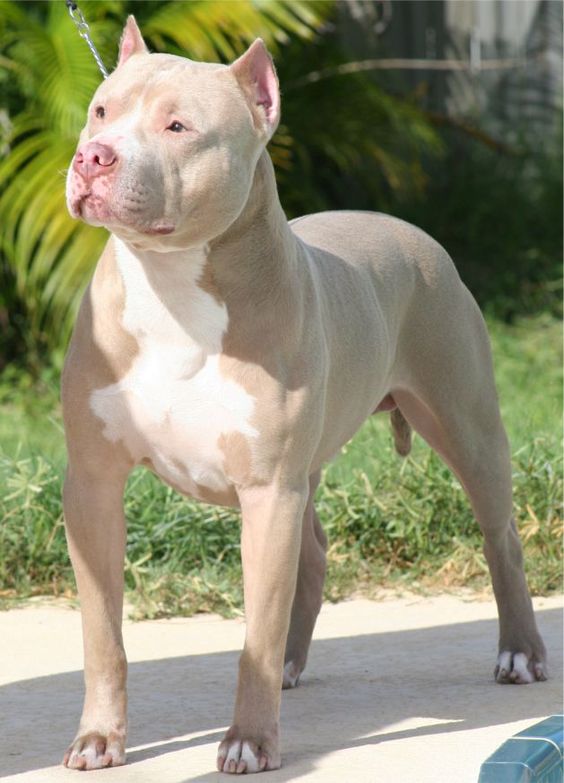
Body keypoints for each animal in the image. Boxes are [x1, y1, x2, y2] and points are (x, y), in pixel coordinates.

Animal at [61, 15, 548, 776]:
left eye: (178, 126)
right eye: (101, 111)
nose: (93, 158)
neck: (171, 286)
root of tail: (407, 227)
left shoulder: (268, 490)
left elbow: (252, 637)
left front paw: (250, 740)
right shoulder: (92, 483)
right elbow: (102, 633)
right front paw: (99, 736)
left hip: (465, 424)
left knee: (501, 535)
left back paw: (520, 652)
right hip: (309, 470)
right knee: (313, 553)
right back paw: (293, 663)